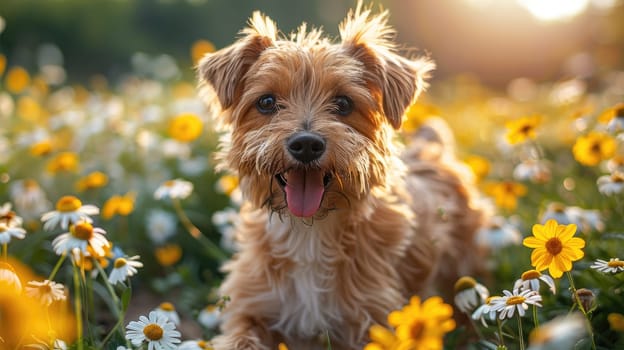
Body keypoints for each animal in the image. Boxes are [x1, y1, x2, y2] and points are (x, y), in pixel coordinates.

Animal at [197, 2, 486, 350]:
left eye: (344, 103)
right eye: (266, 102)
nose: (306, 144)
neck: (308, 233)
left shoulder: (375, 318)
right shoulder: (249, 305)